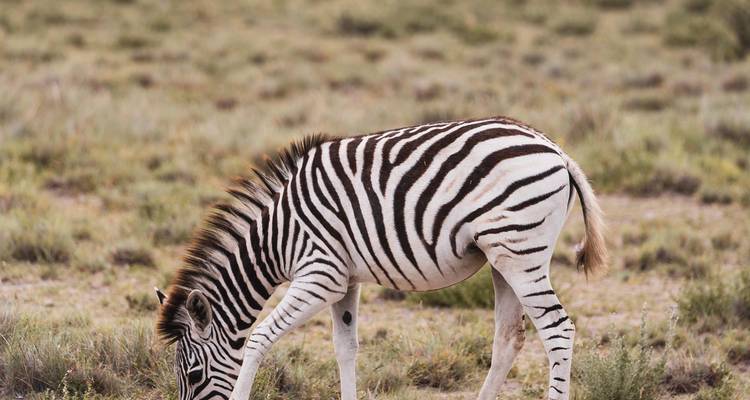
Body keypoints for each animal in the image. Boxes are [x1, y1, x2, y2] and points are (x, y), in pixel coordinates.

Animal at [155, 116, 607, 400]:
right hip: (503, 258)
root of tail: (556, 150)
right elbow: (346, 347)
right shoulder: (345, 280)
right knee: (510, 337)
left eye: (193, 375)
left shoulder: (319, 276)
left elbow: (260, 338)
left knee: (557, 330)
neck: (279, 235)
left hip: (521, 253)